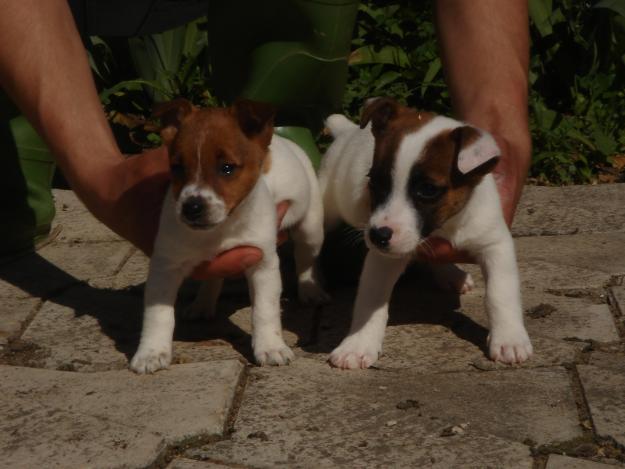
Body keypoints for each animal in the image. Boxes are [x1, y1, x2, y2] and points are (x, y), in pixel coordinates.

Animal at [130, 98, 330, 372]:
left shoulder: (262, 263)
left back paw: (311, 291)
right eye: (177, 168)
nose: (192, 207)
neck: (220, 229)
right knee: (213, 278)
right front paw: (150, 352)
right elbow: (158, 314)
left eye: (226, 168)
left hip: (310, 228)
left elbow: (265, 310)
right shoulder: (165, 265)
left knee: (306, 258)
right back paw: (202, 305)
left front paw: (271, 347)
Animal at [322, 98, 532, 370]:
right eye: (374, 182)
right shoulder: (382, 258)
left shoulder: (495, 243)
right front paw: (357, 344)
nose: (378, 236)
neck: (445, 227)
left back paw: (451, 274)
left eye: (428, 190)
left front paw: (509, 338)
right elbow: (370, 300)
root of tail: (346, 130)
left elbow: (500, 292)